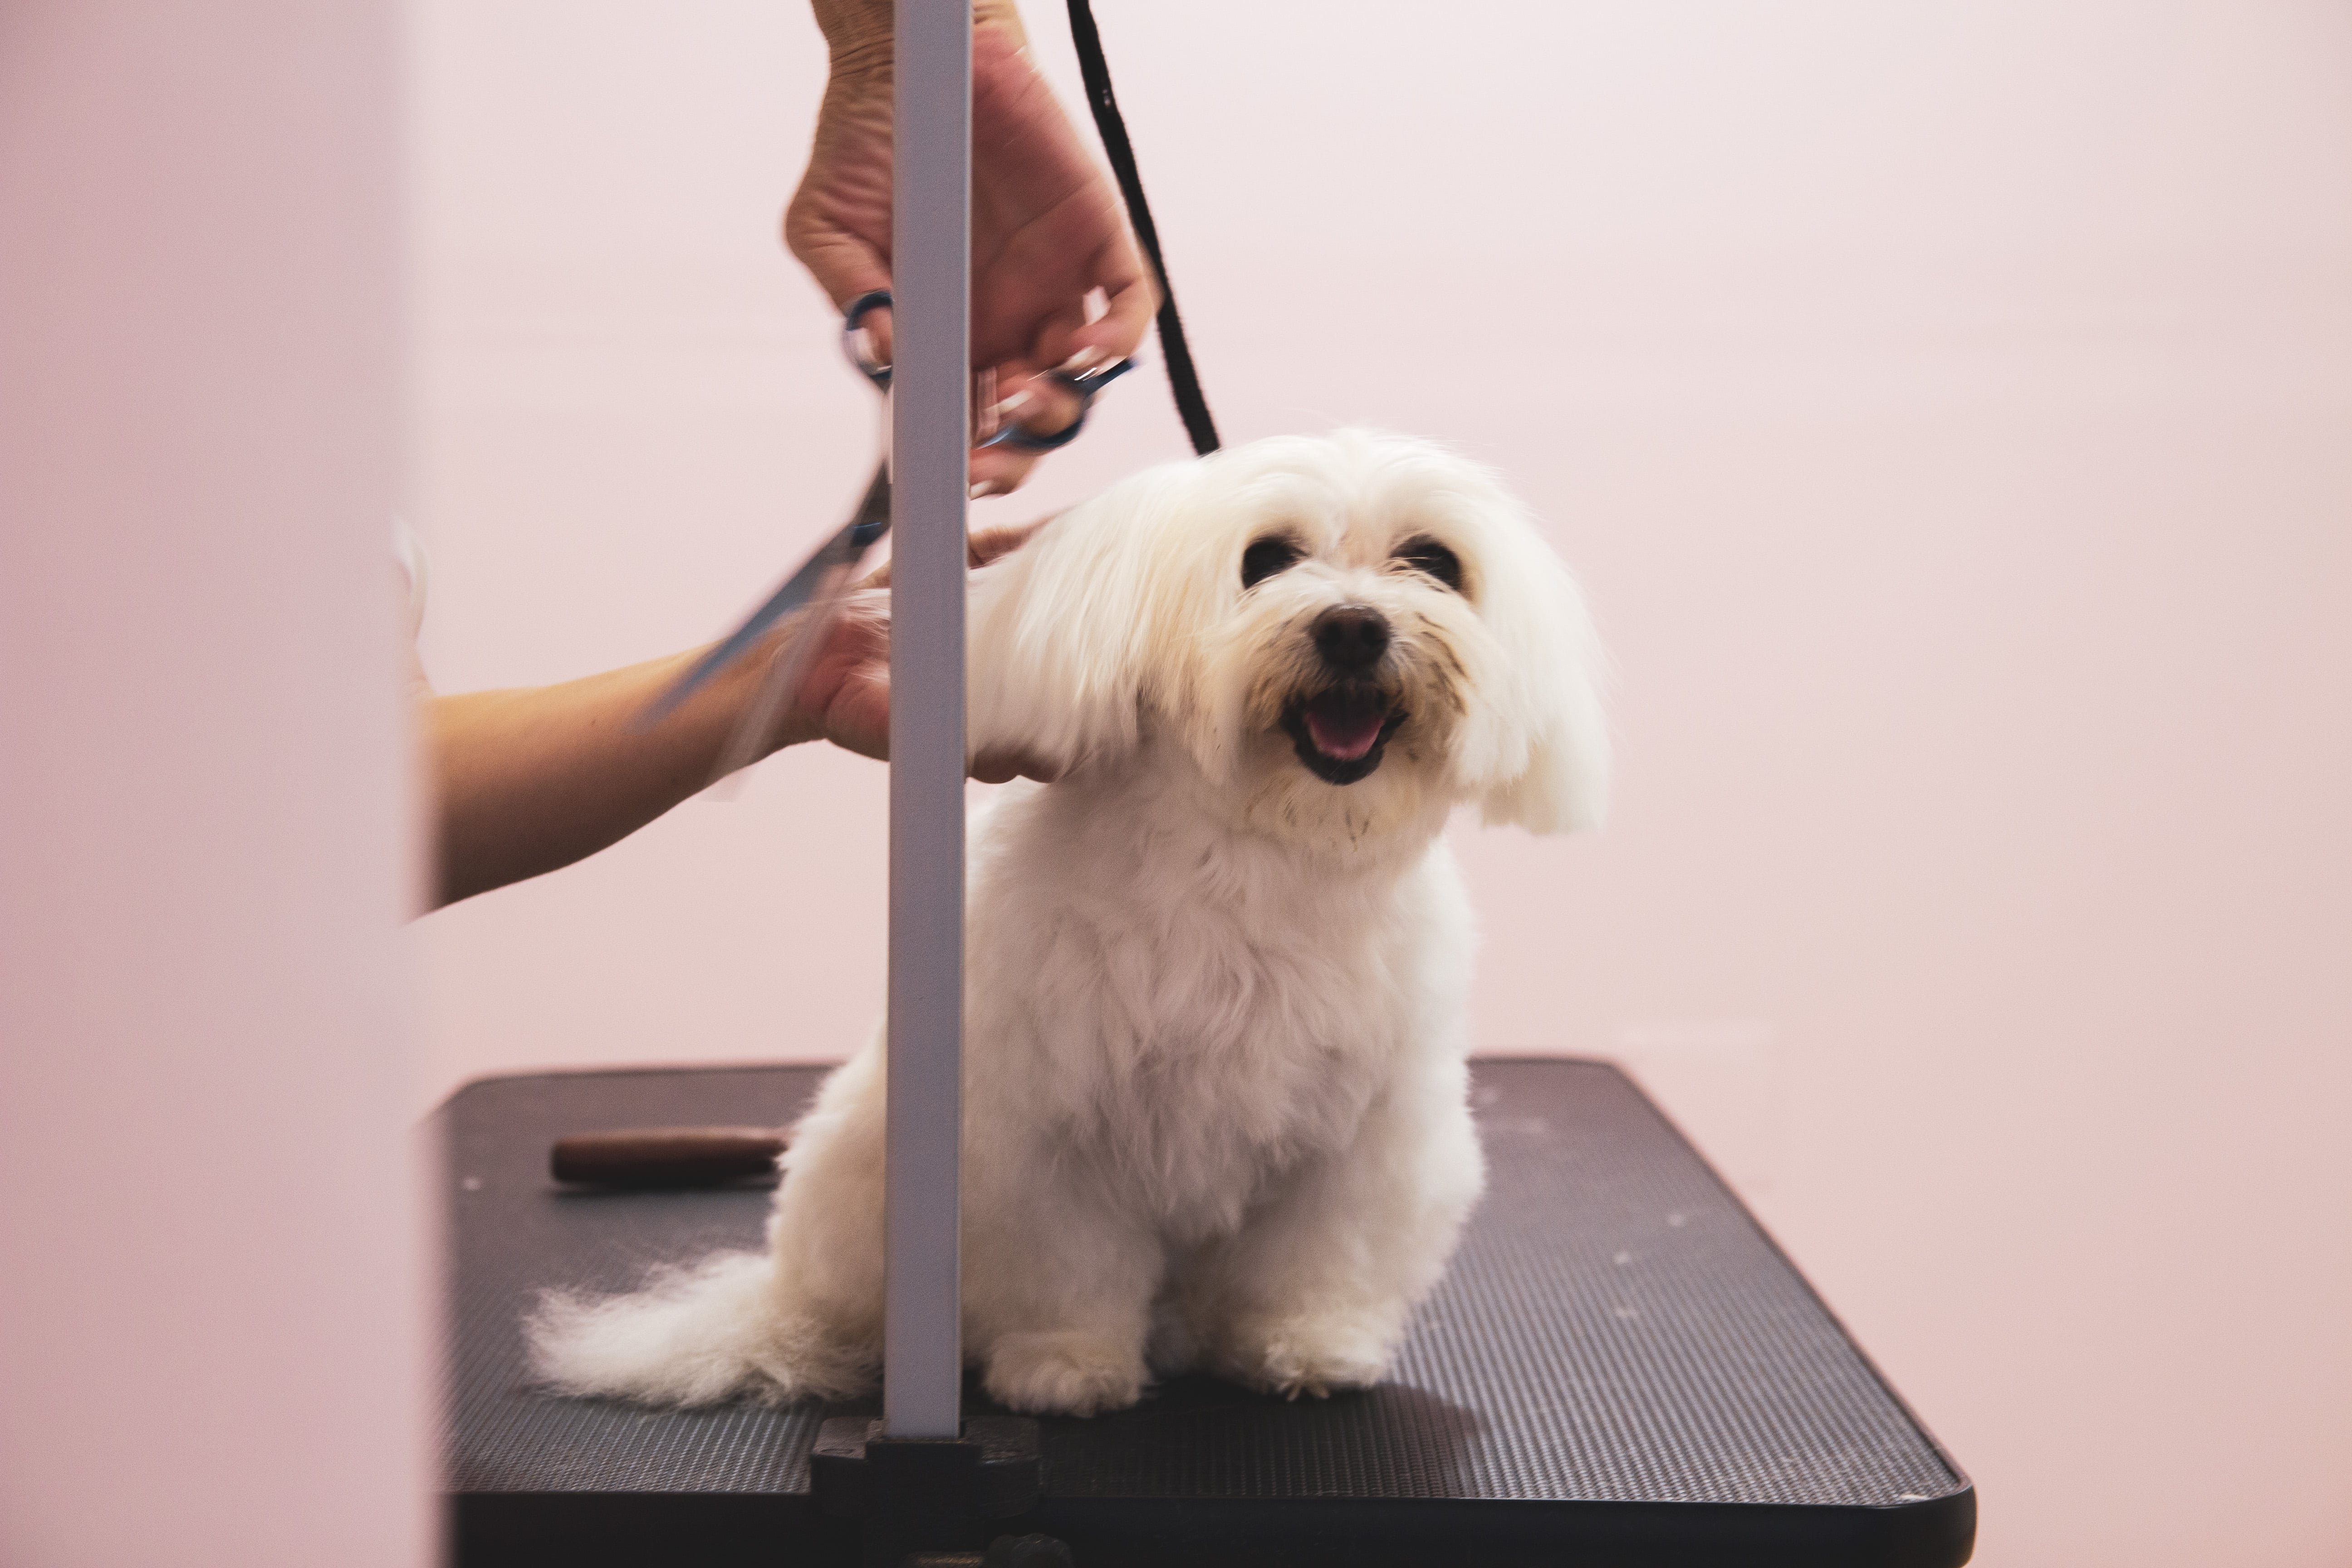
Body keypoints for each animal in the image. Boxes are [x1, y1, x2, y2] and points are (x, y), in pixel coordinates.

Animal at [529, 430, 1599, 1420]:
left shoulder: (1364, 1137)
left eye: (1432, 561)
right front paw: (1067, 1368)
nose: (1352, 629)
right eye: (1264, 559)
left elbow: (1319, 1254)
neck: (1256, 858)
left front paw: (1308, 1344)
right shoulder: (1038, 1132)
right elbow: (1065, 1266)